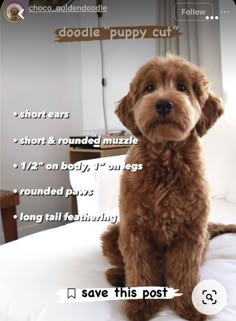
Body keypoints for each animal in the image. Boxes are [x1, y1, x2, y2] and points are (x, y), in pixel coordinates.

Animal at [101, 56, 236, 320]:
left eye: (182, 87)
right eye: (149, 88)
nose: (163, 104)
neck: (166, 157)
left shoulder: (190, 232)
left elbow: (184, 272)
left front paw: (189, 306)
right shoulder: (134, 230)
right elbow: (140, 270)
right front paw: (141, 306)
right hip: (113, 234)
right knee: (123, 262)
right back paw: (118, 276)